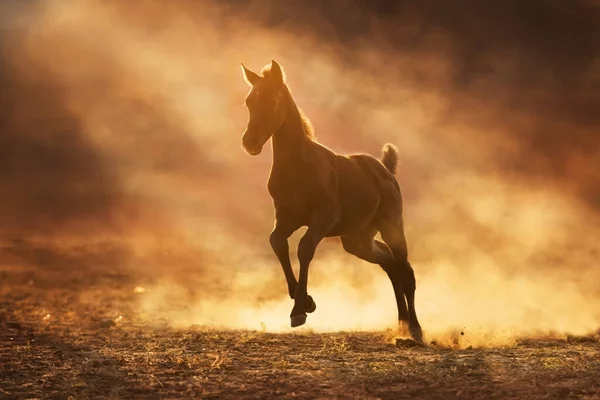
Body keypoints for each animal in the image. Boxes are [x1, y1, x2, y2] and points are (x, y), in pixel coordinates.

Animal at [238, 61, 422, 342]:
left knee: (405, 270)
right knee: (390, 265)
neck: (298, 164)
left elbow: (304, 248)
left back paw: (414, 329)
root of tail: (386, 170)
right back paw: (401, 324)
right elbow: (277, 242)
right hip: (357, 240)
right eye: (249, 101)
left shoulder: (324, 217)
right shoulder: (286, 216)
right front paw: (306, 301)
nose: (250, 142)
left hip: (391, 225)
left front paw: (299, 310)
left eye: (273, 100)